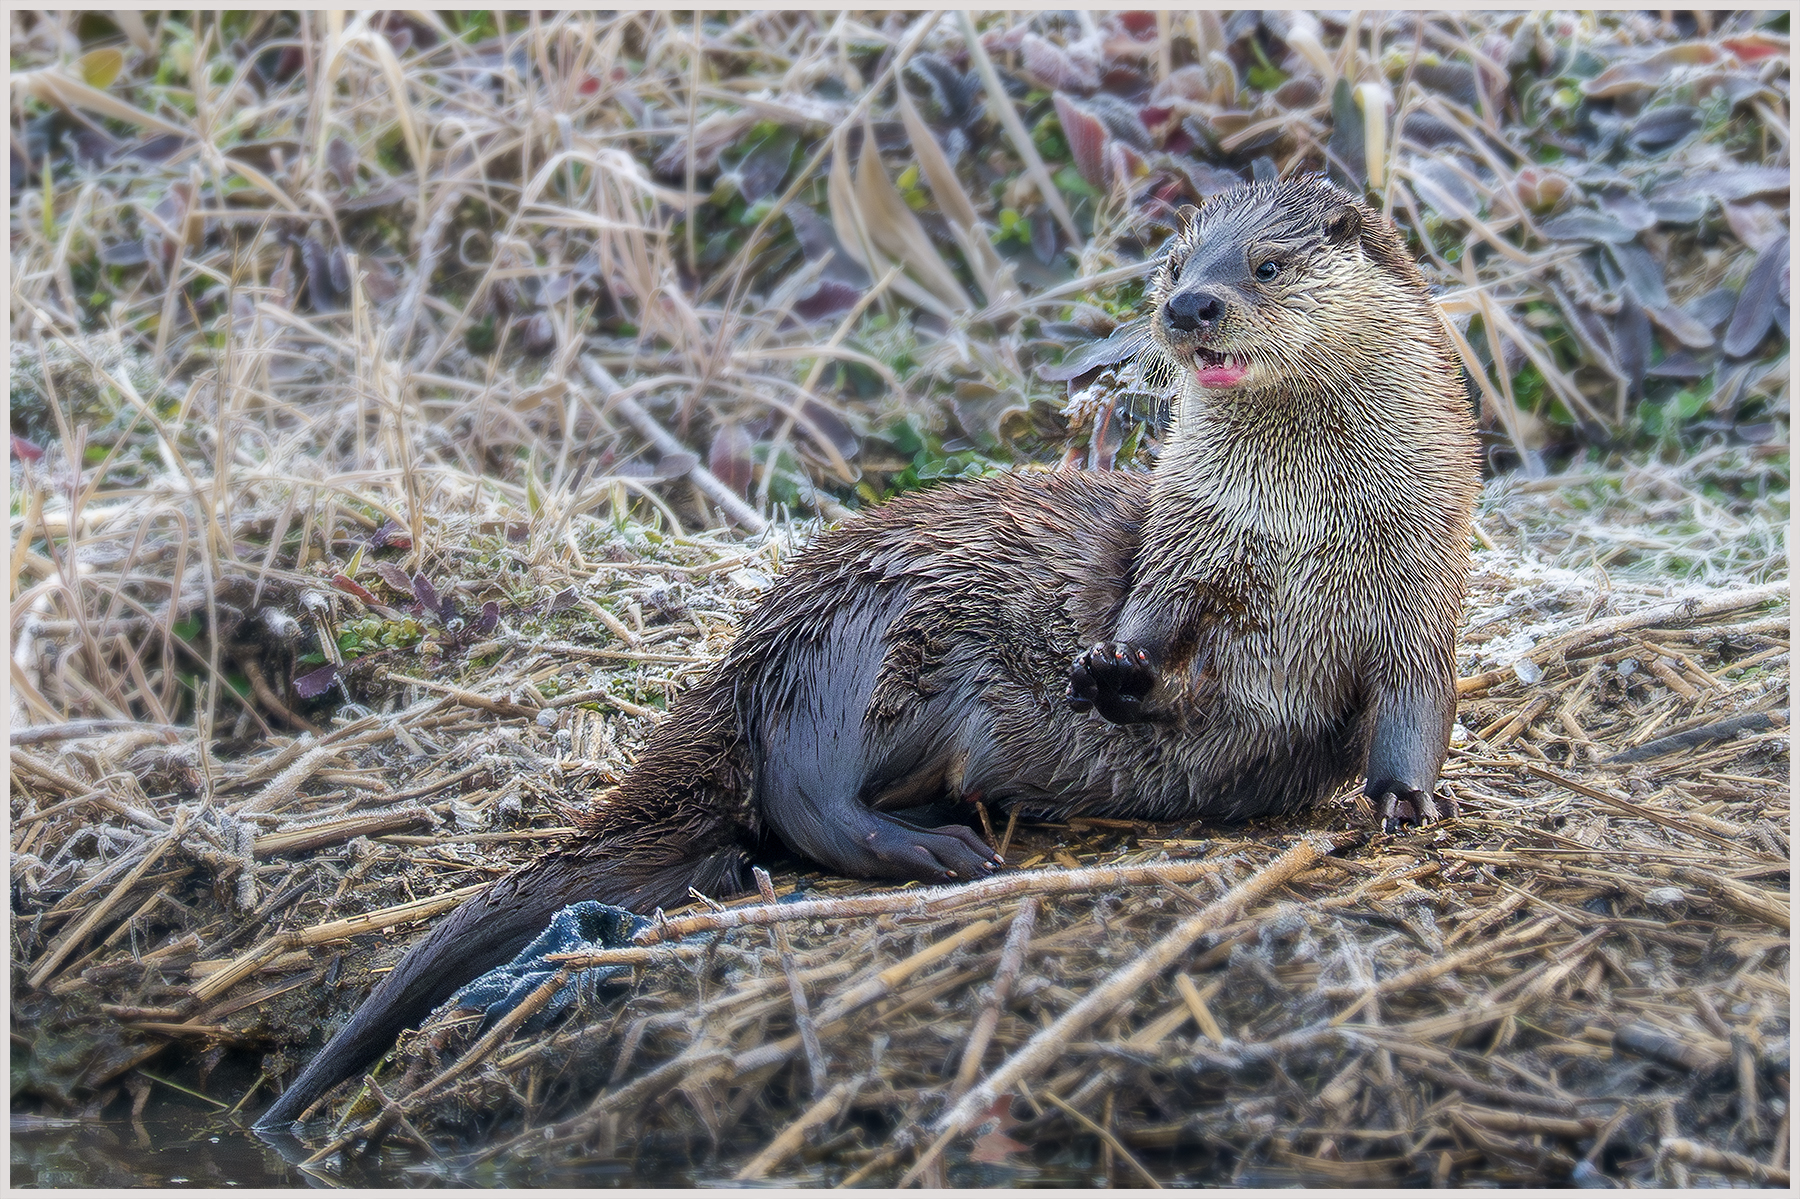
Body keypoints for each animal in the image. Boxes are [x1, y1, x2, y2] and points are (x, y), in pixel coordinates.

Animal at [257, 176, 1478, 1128]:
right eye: (1178, 260)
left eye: (1265, 264)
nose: (1189, 304)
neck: (1302, 531)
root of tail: (753, 642)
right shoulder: (1178, 558)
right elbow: (1145, 623)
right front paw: (1111, 672)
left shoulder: (1422, 585)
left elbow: (1416, 703)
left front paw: (1404, 802)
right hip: (874, 642)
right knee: (807, 797)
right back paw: (944, 849)